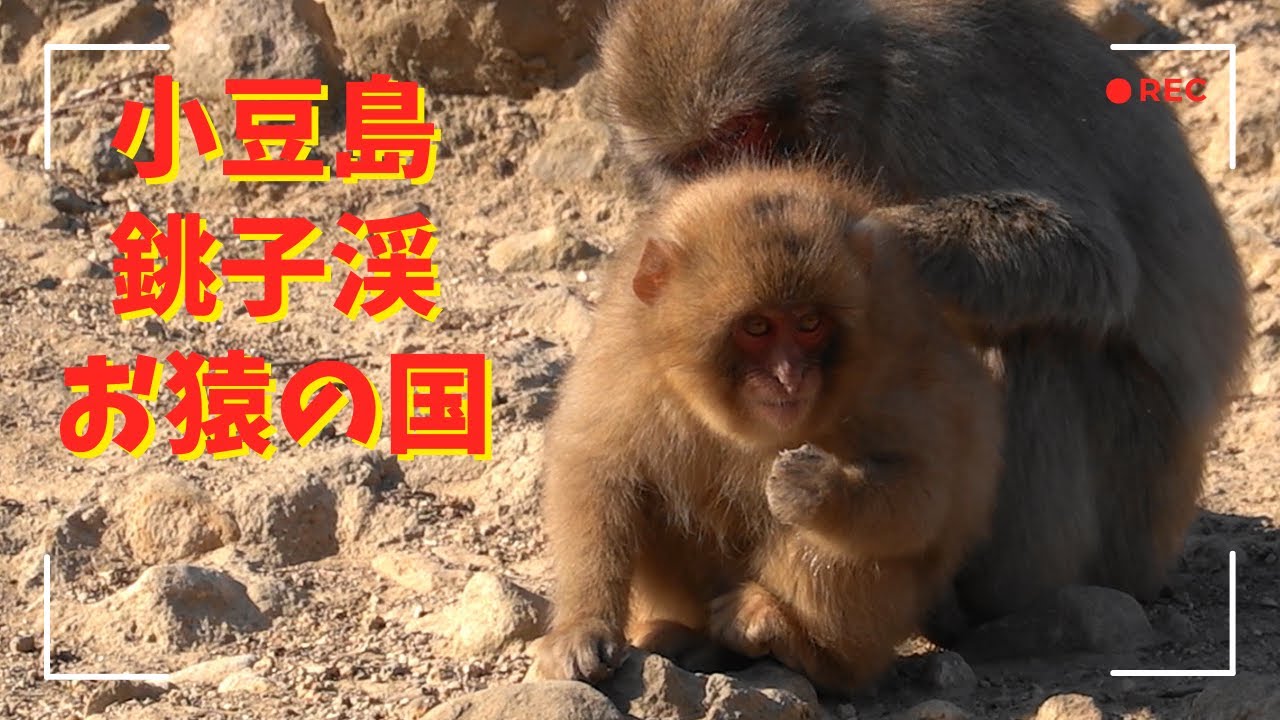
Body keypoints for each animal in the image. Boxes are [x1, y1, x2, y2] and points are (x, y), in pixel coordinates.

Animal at [533, 165, 1002, 691]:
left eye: (810, 323)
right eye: (757, 327)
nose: (789, 376)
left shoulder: (896, 363)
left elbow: (928, 497)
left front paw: (819, 487)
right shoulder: (626, 363)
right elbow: (595, 472)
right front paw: (582, 626)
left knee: (838, 544)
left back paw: (801, 645)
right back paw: (687, 639)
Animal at [593, 0, 1251, 631]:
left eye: (741, 133)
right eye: (696, 158)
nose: (734, 184)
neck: (857, 80)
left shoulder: (933, 91)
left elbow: (1094, 257)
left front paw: (872, 234)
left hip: (1137, 500)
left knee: (1041, 344)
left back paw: (991, 600)